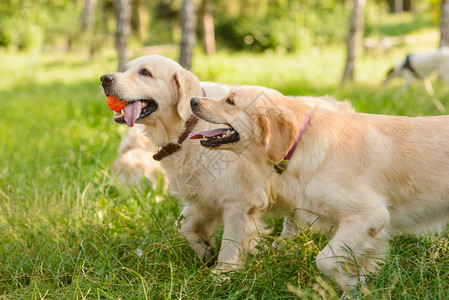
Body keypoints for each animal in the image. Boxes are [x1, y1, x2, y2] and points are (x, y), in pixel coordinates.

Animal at [99, 55, 354, 274]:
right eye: (126, 69)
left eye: (145, 72)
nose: (104, 78)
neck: (188, 128)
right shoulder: (203, 195)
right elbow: (183, 228)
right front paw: (205, 251)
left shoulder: (238, 201)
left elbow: (230, 243)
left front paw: (222, 274)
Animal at [188, 85, 448, 290]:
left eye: (230, 101)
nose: (192, 100)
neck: (300, 143)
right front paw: (356, 287)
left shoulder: (368, 217)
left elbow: (324, 260)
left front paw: (348, 284)